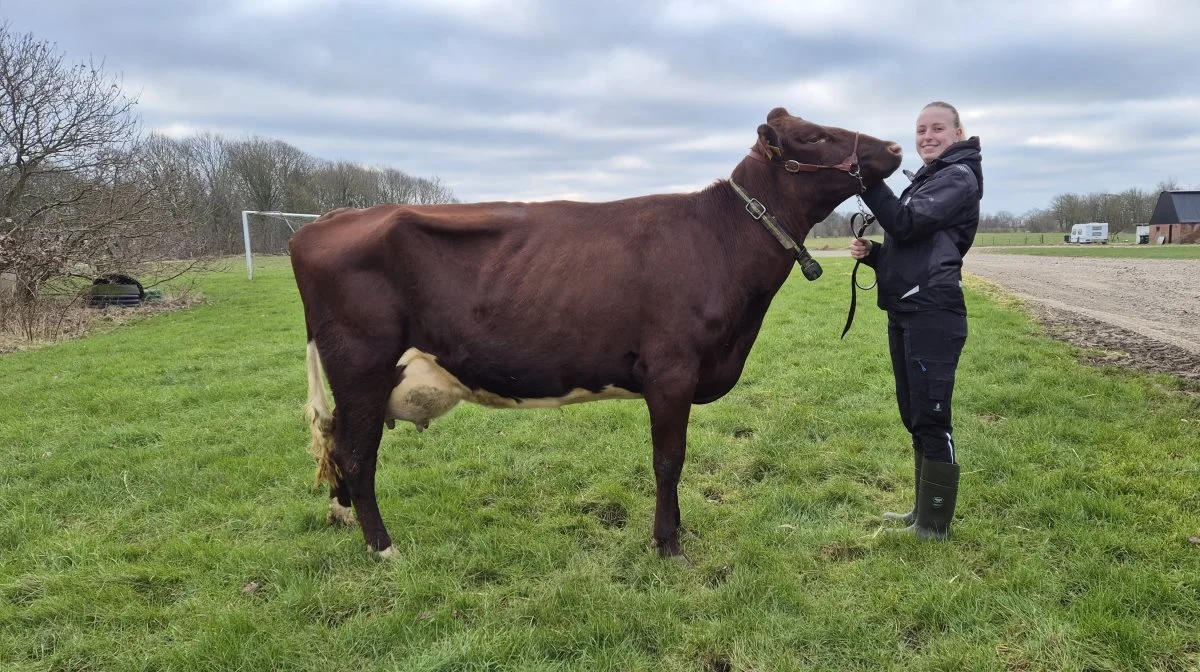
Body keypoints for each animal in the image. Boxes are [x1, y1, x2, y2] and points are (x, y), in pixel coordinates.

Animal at [290, 107, 902, 559]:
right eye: (815, 136)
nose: (896, 148)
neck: (720, 240)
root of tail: (327, 221)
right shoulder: (672, 370)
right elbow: (669, 460)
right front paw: (669, 546)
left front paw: (675, 534)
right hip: (362, 366)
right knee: (356, 453)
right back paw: (383, 547)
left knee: (338, 441)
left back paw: (343, 517)